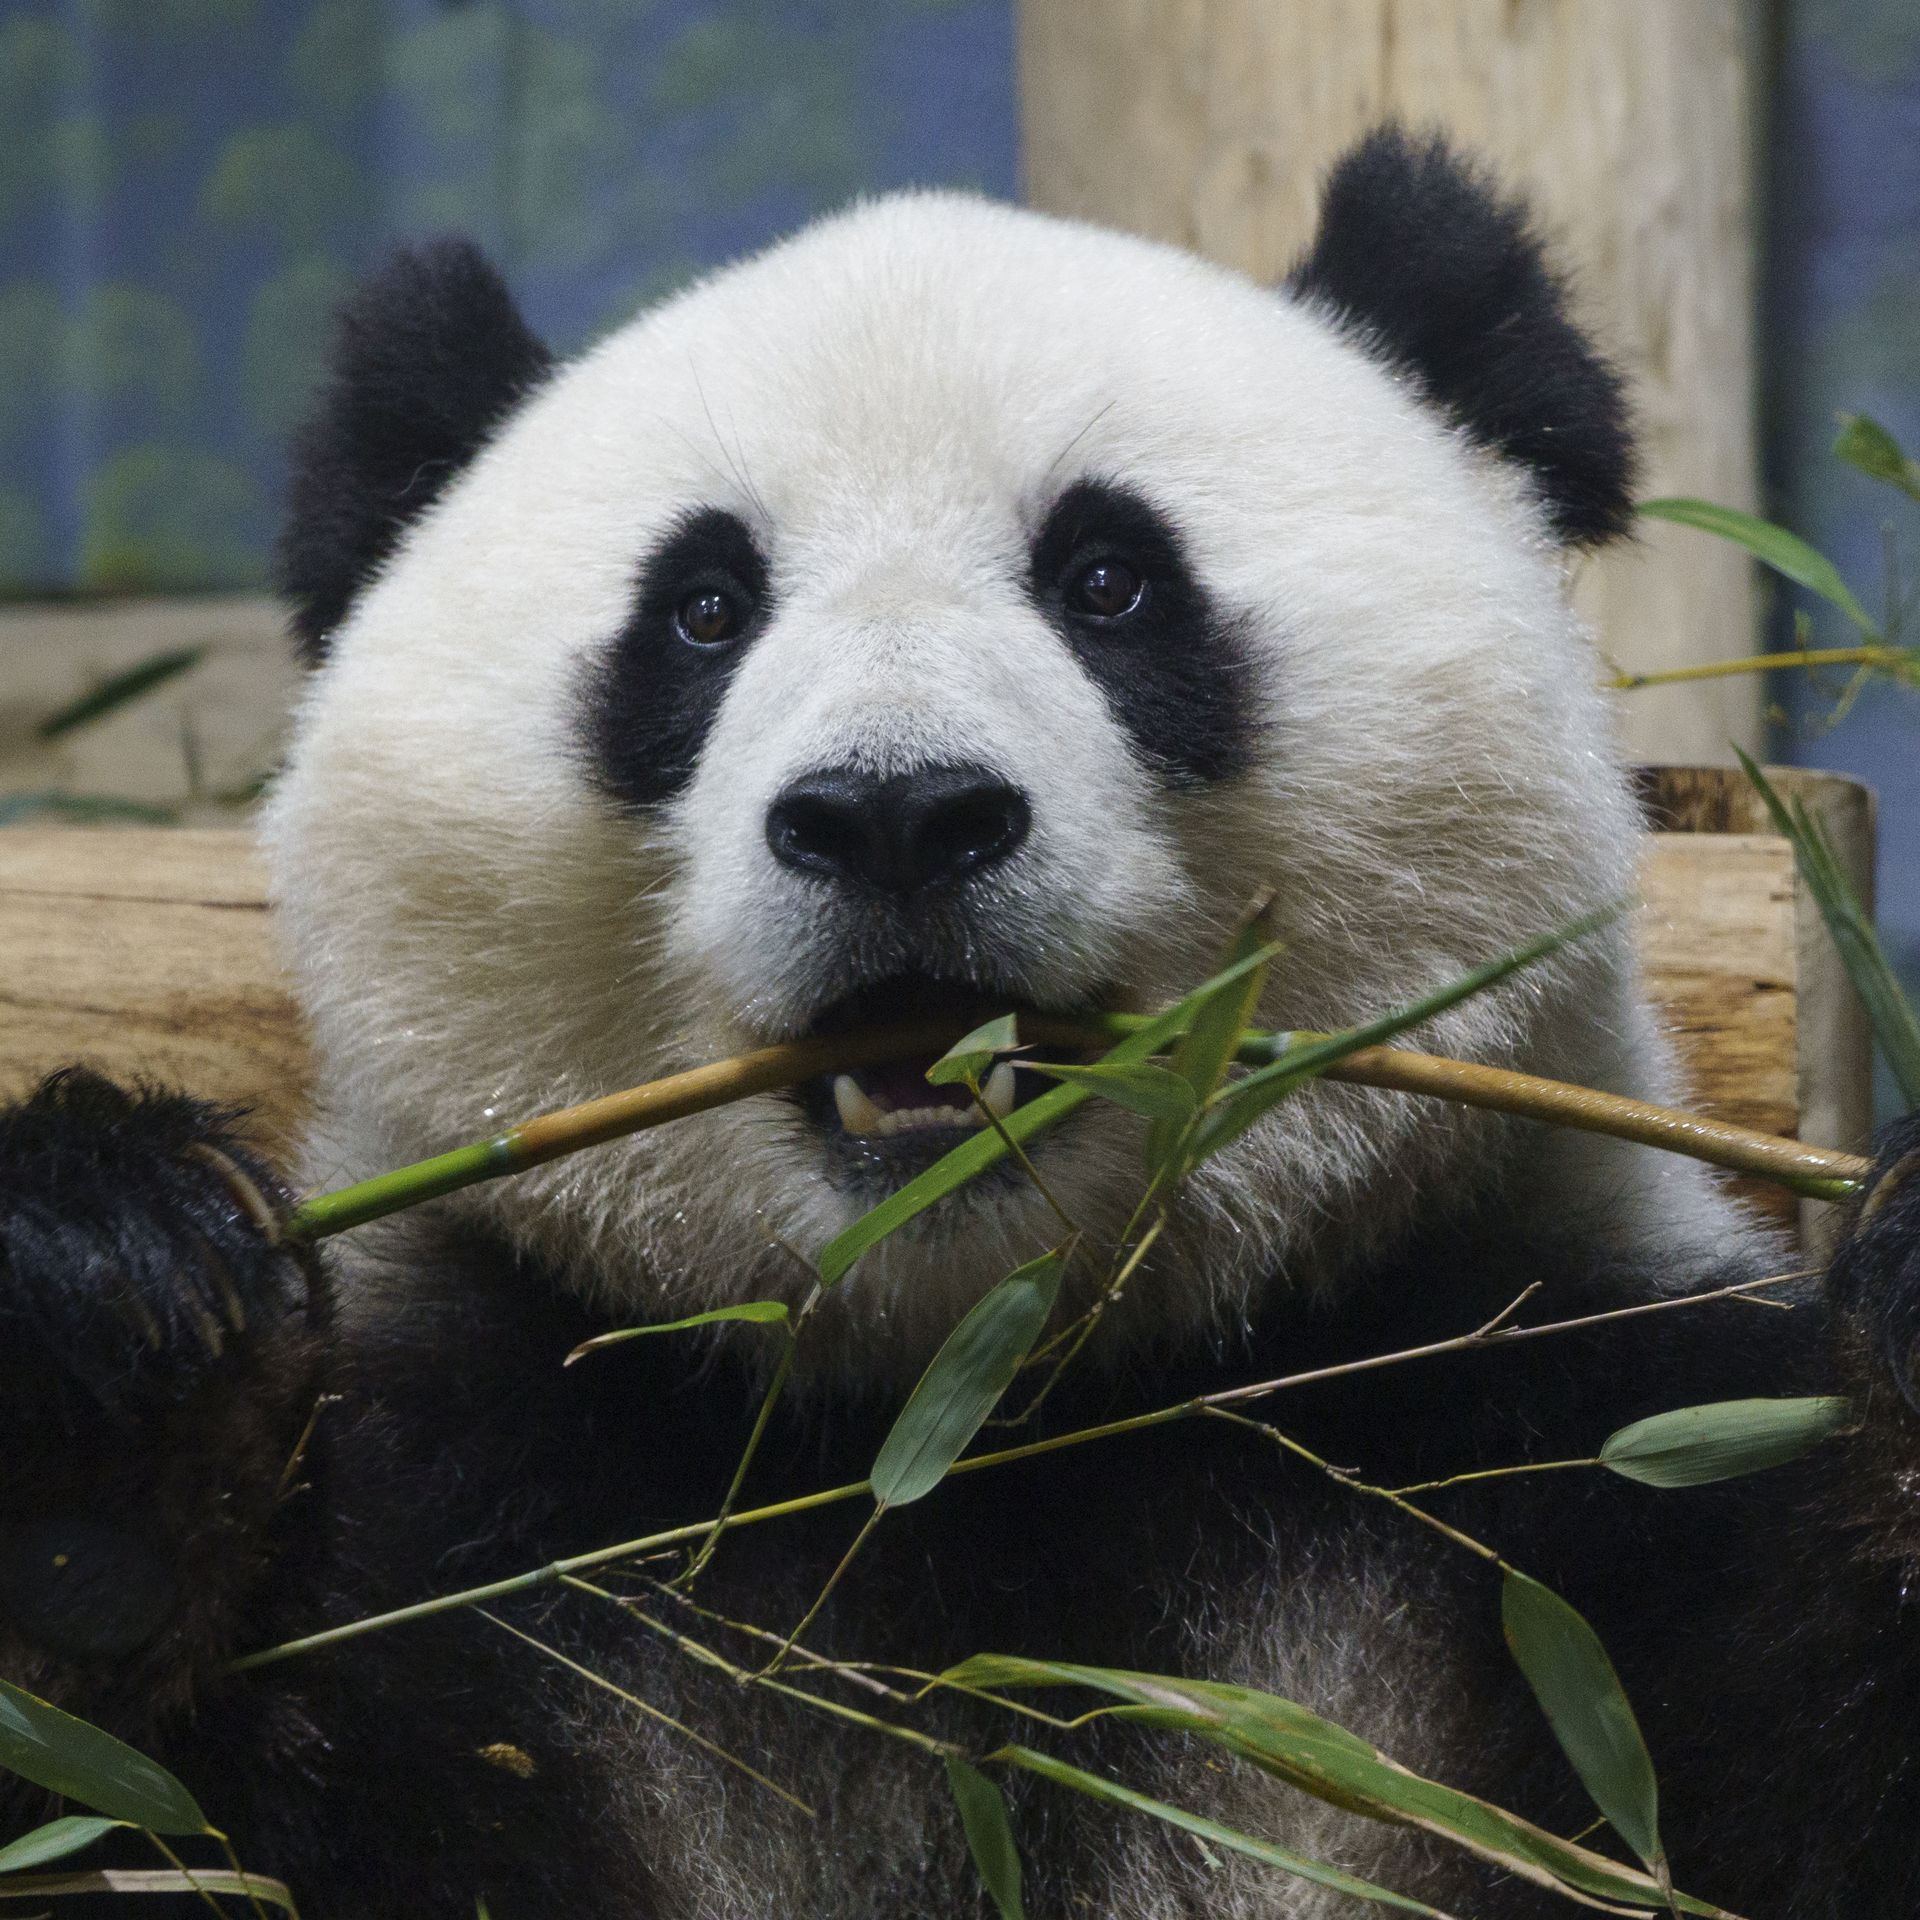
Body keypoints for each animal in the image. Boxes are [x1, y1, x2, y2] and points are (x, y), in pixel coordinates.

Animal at [4, 125, 1919, 1918]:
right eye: (704, 609)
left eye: (1109, 579)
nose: (897, 816)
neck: (969, 1409)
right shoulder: (494, 1485)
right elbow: (127, 1796)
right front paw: (105, 1352)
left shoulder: (1550, 1447)